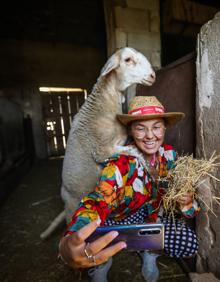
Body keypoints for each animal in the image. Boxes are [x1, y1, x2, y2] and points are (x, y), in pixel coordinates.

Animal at [40, 47, 156, 239]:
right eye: (128, 60)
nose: (153, 75)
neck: (103, 107)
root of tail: (64, 199)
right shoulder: (101, 150)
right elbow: (134, 151)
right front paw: (149, 167)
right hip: (73, 205)